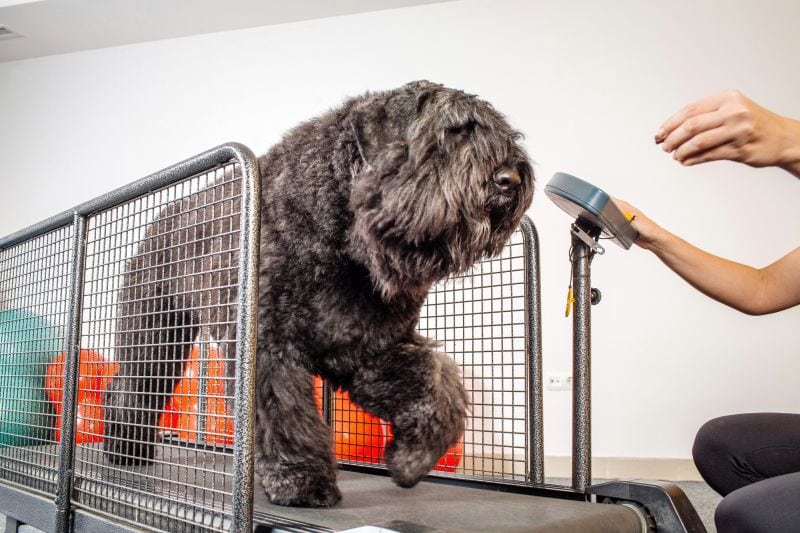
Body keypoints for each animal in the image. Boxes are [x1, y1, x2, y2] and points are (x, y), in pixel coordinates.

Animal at [103, 81, 536, 504]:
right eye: (453, 131)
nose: (510, 179)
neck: (340, 230)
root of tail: (162, 218)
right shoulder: (269, 347)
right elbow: (284, 413)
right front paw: (301, 480)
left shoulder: (370, 348)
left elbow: (435, 381)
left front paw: (412, 458)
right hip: (155, 333)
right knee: (128, 389)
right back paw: (124, 450)